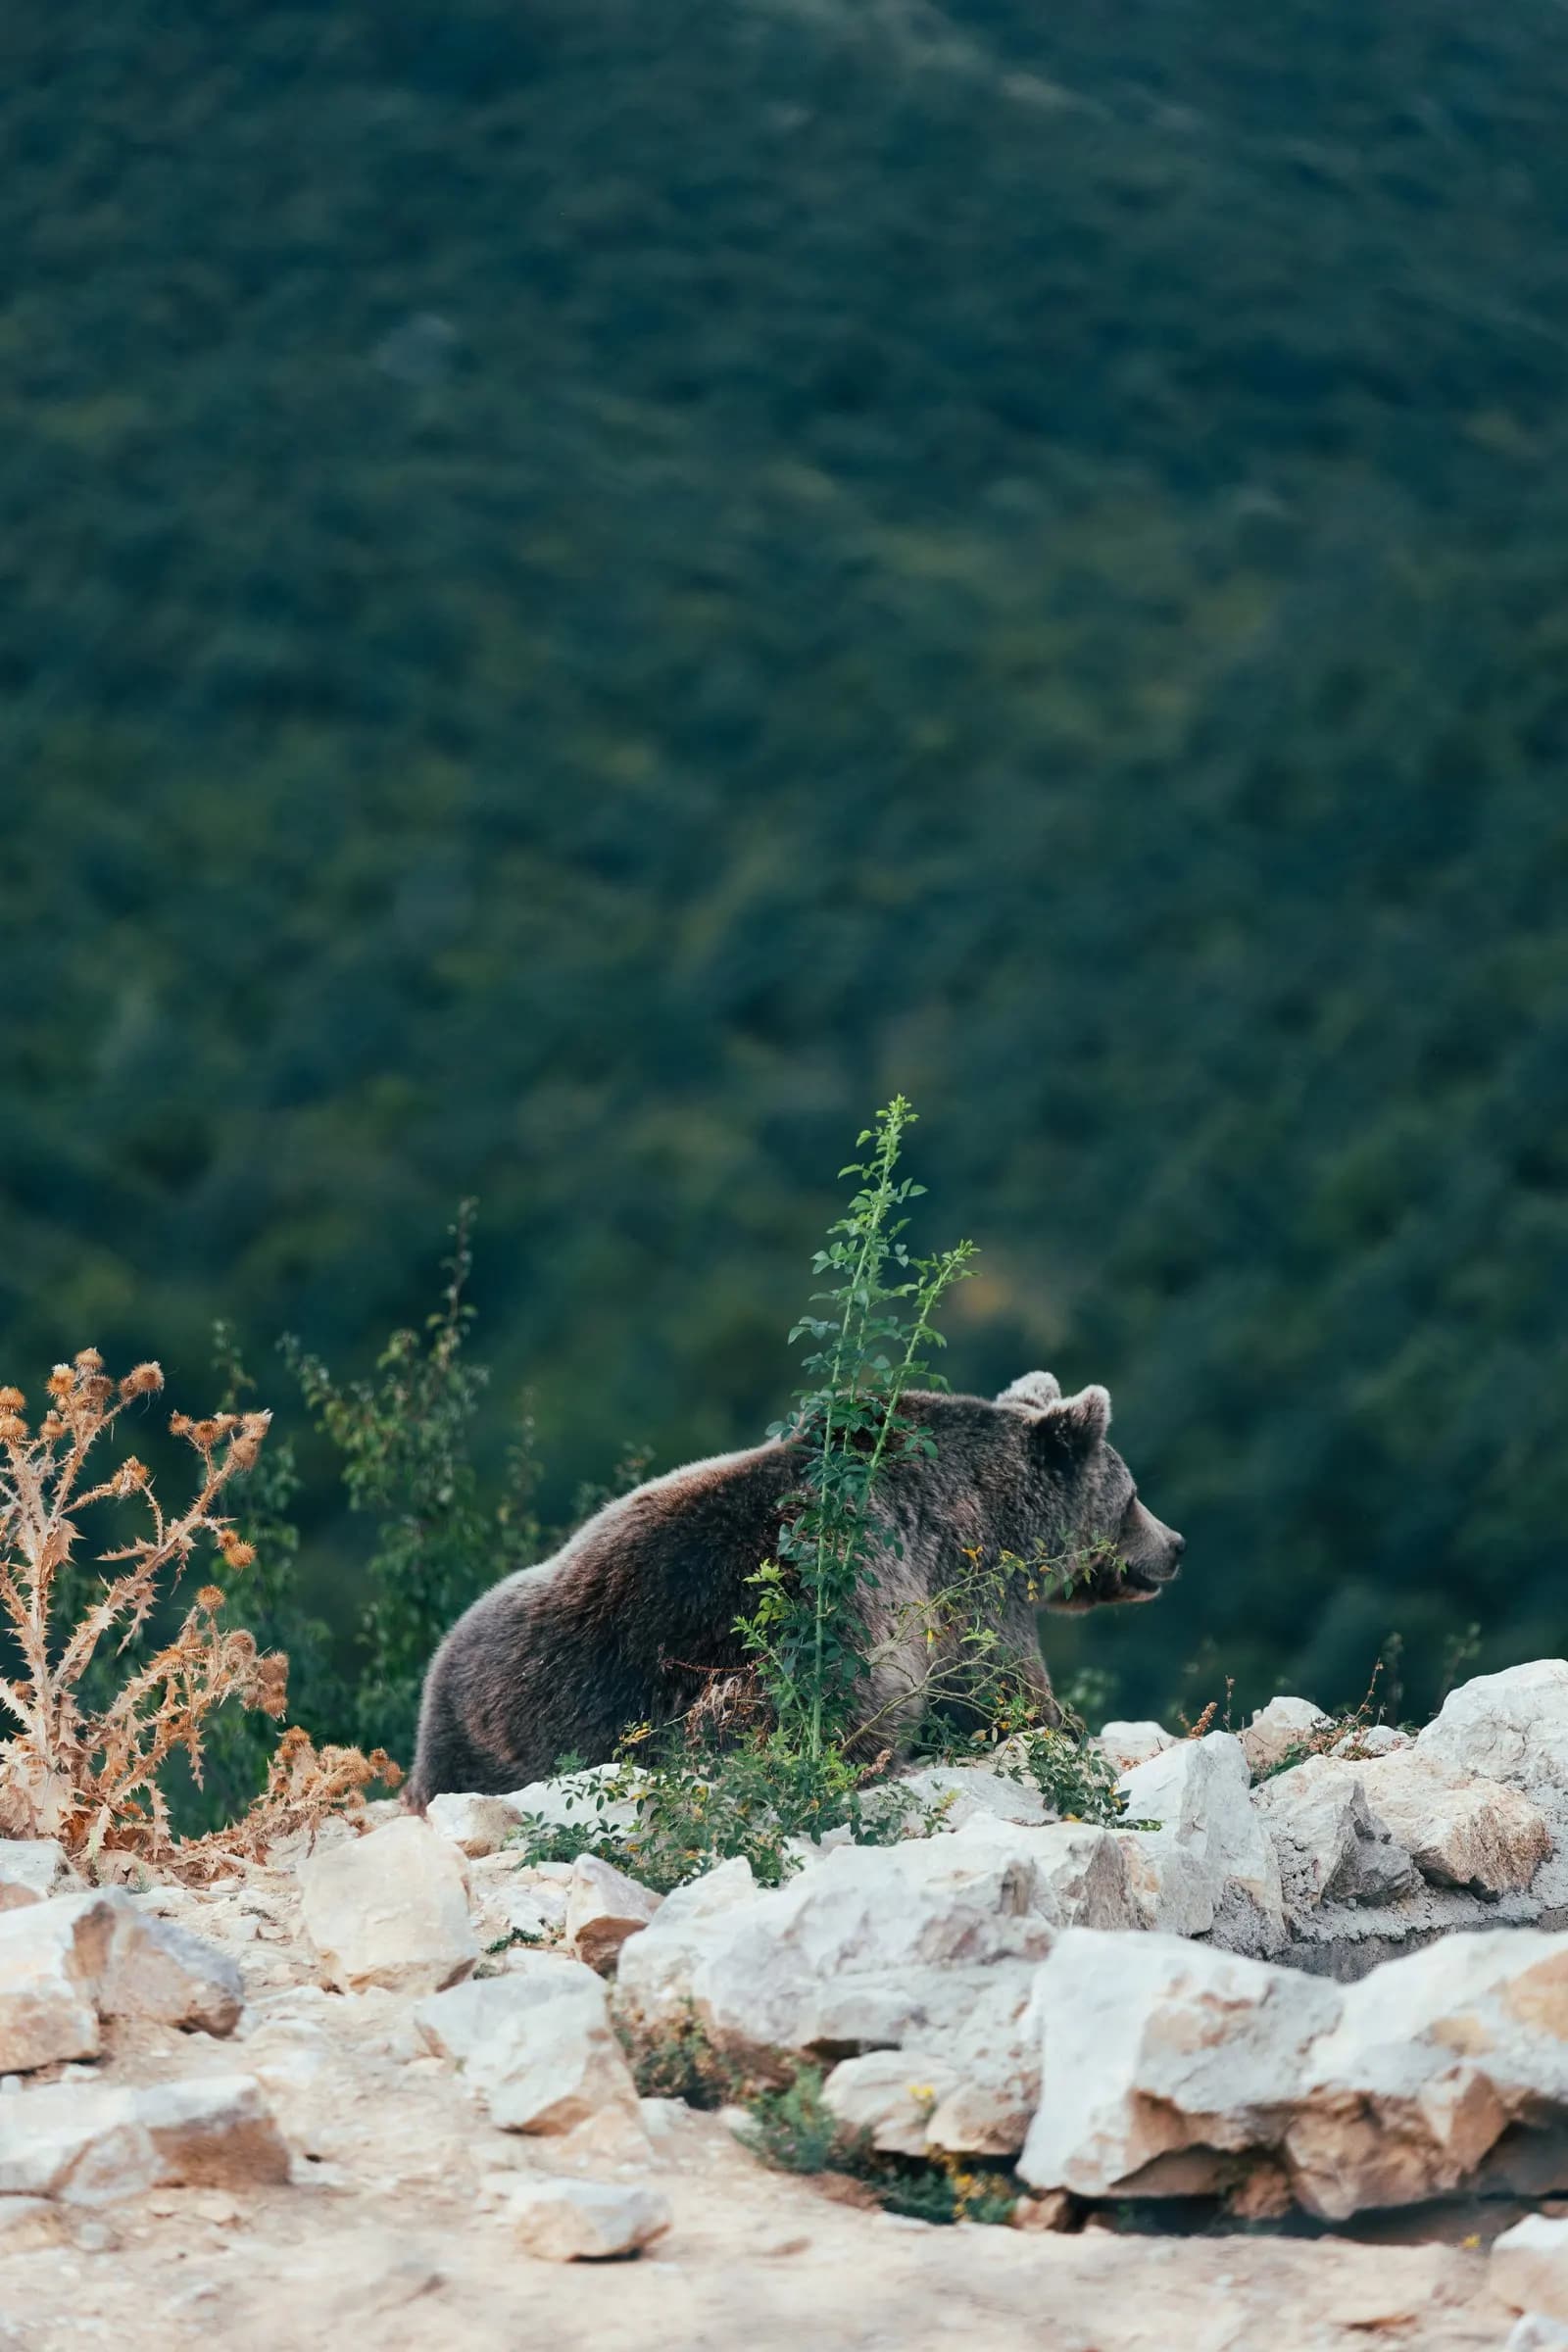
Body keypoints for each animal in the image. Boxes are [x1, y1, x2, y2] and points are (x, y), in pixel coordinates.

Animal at [406, 1370, 1184, 1805]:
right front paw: (1063, 1723)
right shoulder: (956, 1582)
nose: (1175, 1547)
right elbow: (998, 1681)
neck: (998, 1509)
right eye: (1132, 1496)